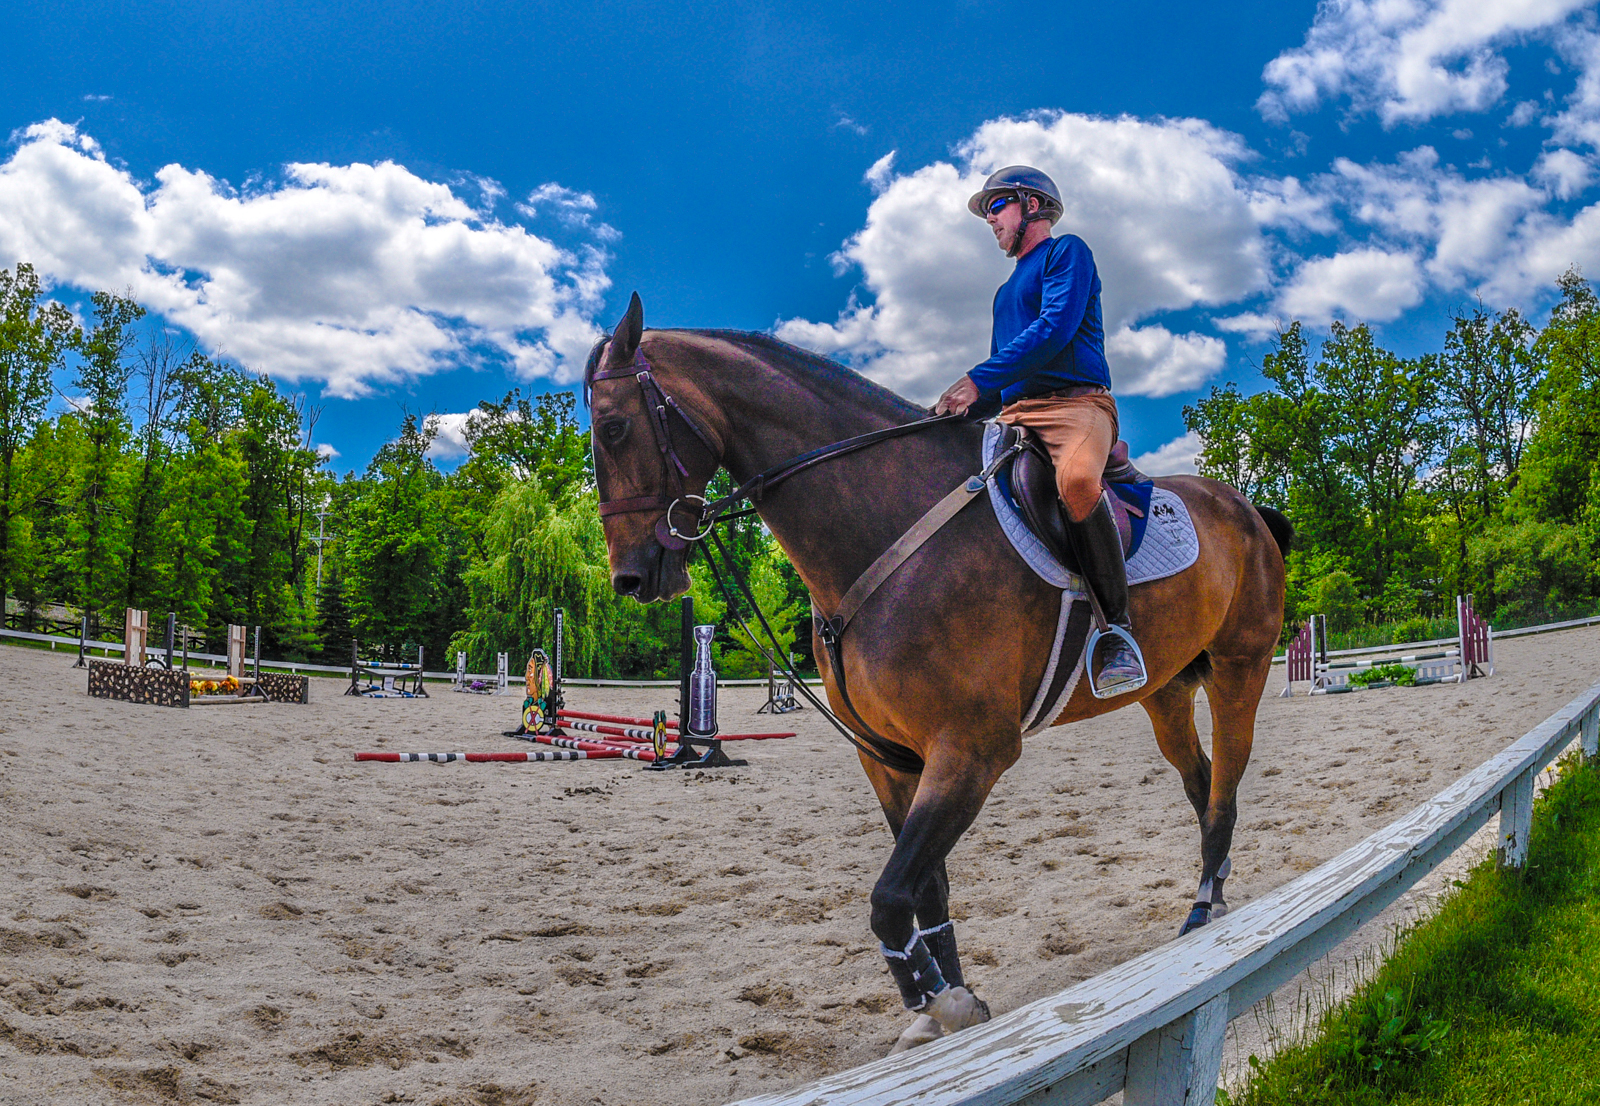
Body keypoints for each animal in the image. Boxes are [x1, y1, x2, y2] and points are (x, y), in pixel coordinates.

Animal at [586, 294, 1290, 1053]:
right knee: (1201, 781)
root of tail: (1245, 507)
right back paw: (1211, 888)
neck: (882, 523)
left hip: (1239, 672)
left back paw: (1205, 909)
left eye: (615, 426)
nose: (630, 579)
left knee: (1225, 788)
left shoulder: (972, 750)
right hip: (1164, 694)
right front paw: (948, 1005)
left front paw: (942, 1002)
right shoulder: (890, 757)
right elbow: (927, 889)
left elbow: (890, 897)